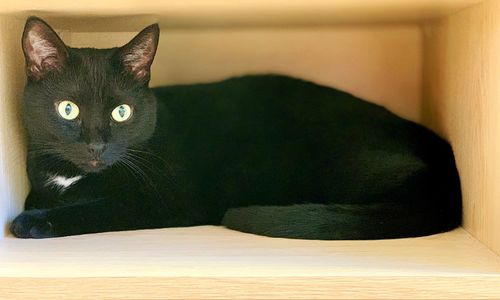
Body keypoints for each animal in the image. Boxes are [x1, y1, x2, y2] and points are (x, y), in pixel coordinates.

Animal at [9, 17, 460, 240]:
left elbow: (97, 208)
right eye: (68, 109)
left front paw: (33, 220)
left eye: (122, 112)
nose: (96, 146)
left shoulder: (170, 200)